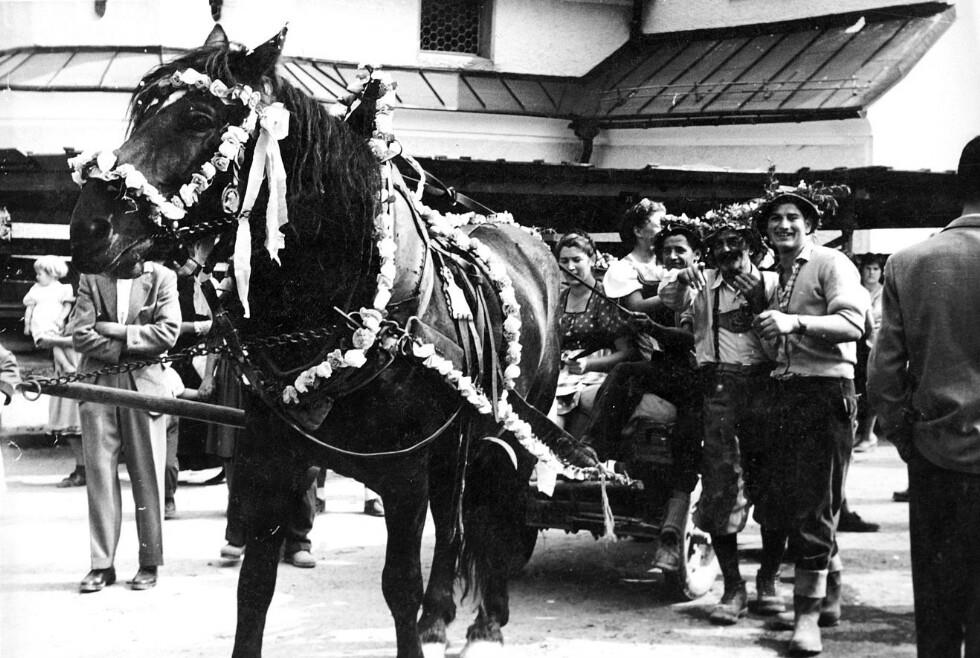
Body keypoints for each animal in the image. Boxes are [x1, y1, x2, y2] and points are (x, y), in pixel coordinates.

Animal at [67, 25, 596, 658]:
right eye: (142, 110)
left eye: (198, 117)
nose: (87, 227)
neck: (347, 305)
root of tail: (534, 242)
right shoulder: (272, 456)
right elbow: (255, 586)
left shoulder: (403, 474)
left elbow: (399, 586)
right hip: (455, 441)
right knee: (453, 518)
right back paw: (442, 614)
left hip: (517, 426)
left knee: (500, 507)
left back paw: (489, 618)